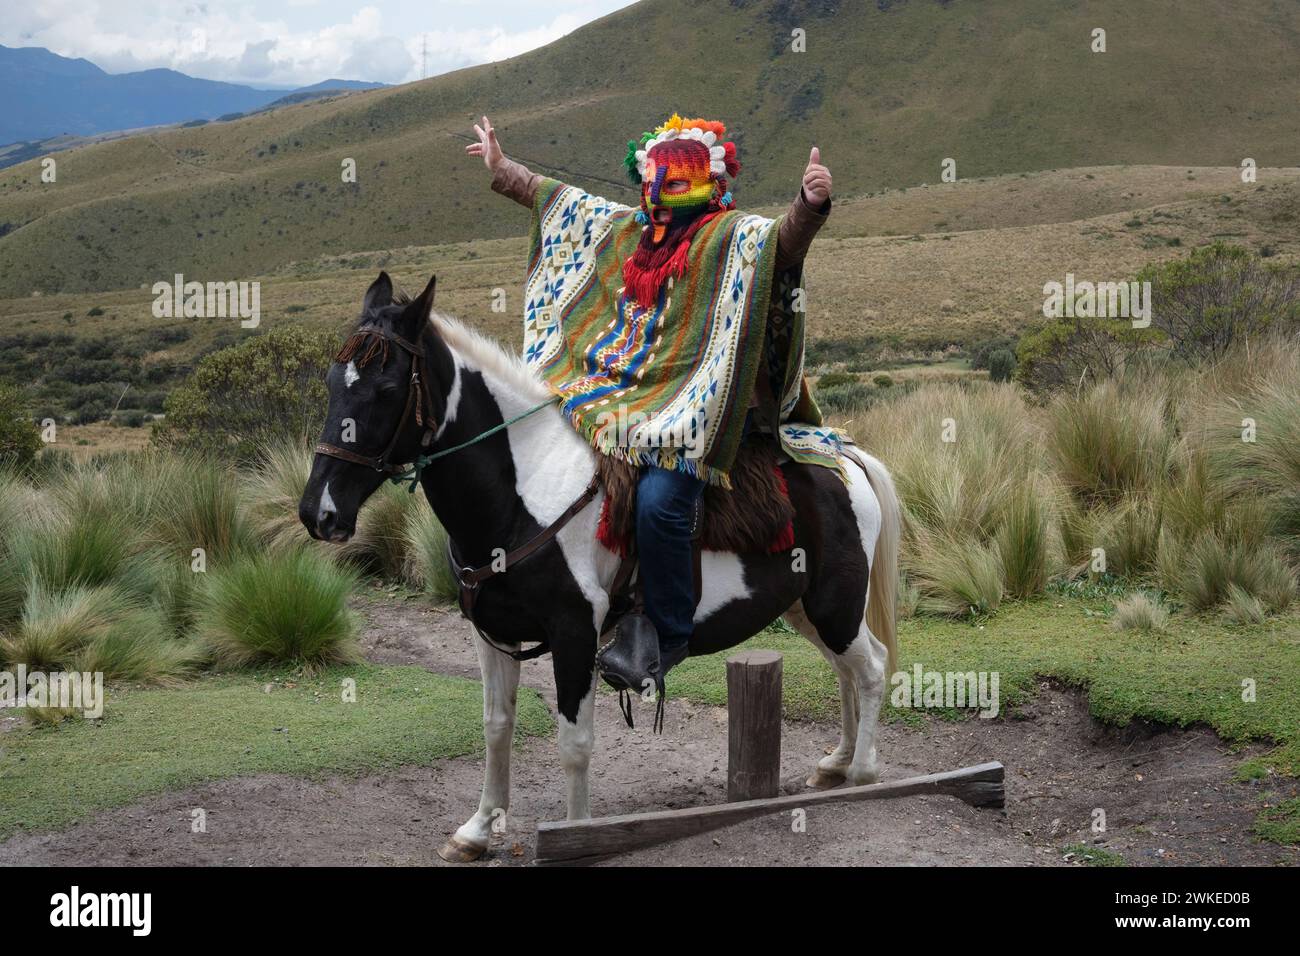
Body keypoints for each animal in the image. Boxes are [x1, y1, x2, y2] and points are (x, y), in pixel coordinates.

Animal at [299, 273, 899, 863]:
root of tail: (843, 458)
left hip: (834, 605)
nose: (318, 513)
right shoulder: (493, 634)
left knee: (870, 668)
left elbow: (574, 742)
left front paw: (575, 835)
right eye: (331, 384)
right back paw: (836, 762)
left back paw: (863, 771)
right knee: (847, 670)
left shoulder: (574, 634)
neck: (522, 497)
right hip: (805, 609)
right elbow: (497, 727)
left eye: (385, 390)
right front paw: (477, 830)